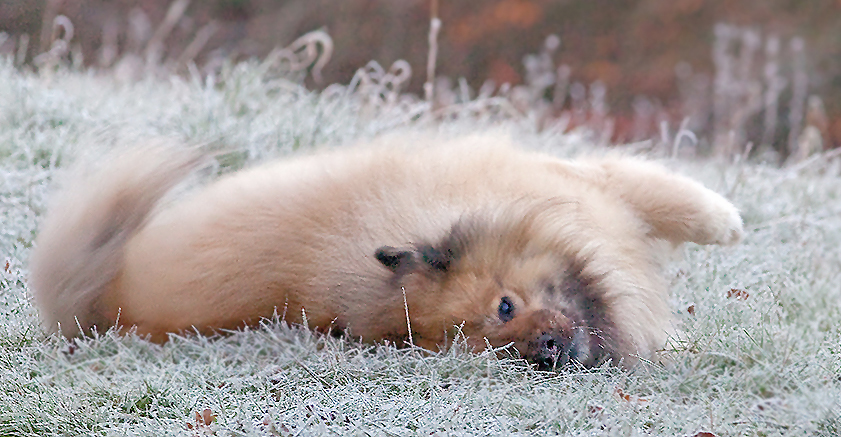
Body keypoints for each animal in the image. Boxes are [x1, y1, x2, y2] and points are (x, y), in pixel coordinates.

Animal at [27, 135, 740, 368]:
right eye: (491, 344)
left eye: (505, 307)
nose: (543, 353)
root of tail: (103, 299)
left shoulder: (576, 186)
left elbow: (661, 197)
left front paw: (725, 222)